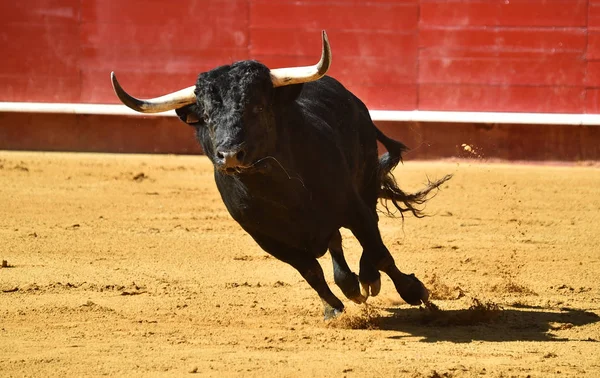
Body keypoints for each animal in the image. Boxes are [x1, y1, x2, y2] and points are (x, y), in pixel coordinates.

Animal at [111, 31, 450, 318]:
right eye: (206, 116)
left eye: (259, 108)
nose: (229, 155)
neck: (280, 190)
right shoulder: (267, 238)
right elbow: (311, 271)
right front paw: (334, 308)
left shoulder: (354, 207)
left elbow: (377, 250)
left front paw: (410, 289)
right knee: (335, 243)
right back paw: (350, 285)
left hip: (364, 183)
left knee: (365, 237)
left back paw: (367, 281)